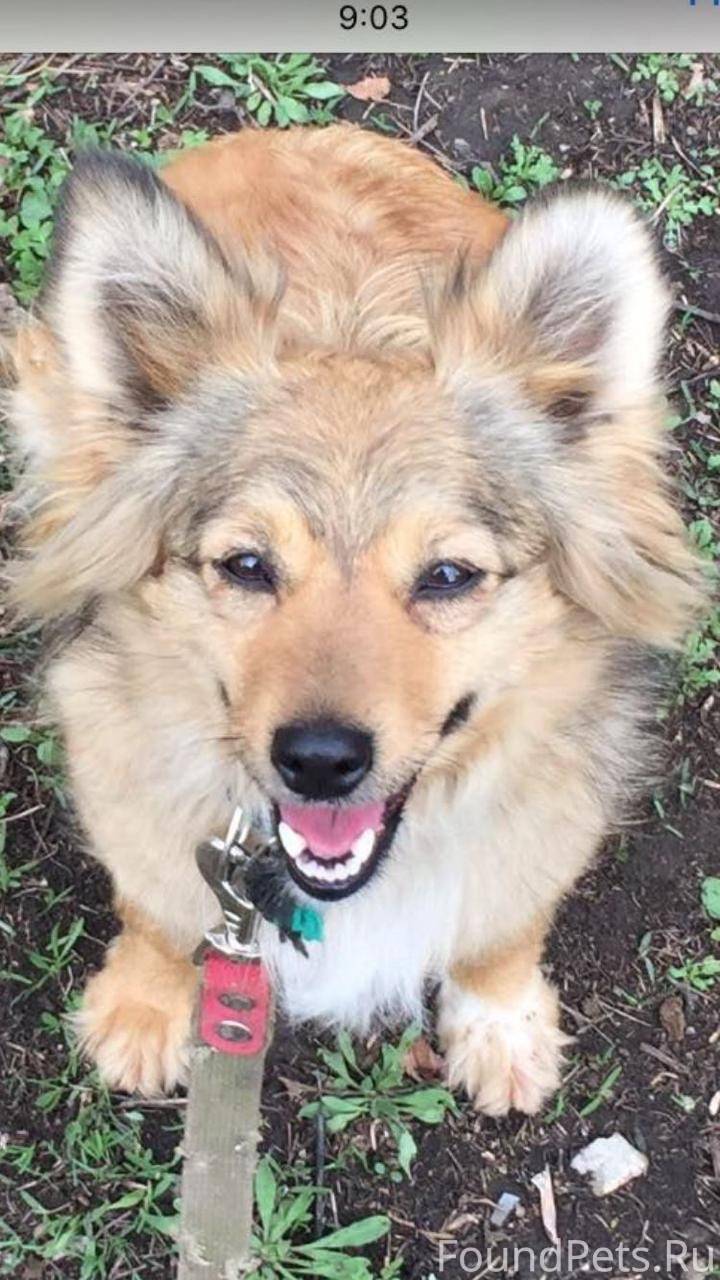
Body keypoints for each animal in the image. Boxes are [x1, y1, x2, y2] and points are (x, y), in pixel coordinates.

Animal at [7, 124, 704, 1114]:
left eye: (448, 575)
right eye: (247, 566)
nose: (320, 760)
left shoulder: (545, 810)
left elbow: (503, 925)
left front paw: (501, 1022)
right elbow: (154, 909)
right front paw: (144, 1004)